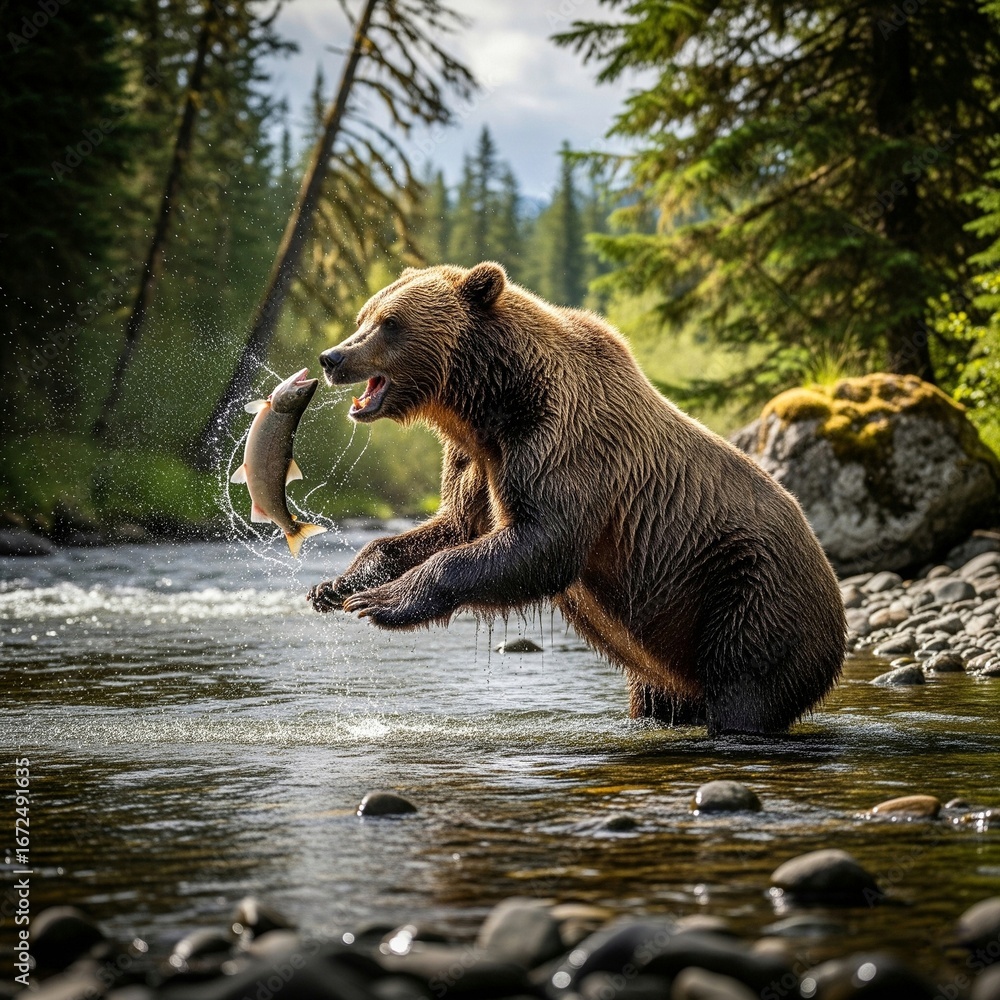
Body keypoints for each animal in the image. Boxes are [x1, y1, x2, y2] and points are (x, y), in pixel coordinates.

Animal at [308, 261, 846, 735]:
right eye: (363, 316)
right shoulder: (475, 459)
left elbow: (542, 540)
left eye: (390, 323)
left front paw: (379, 602)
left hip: (749, 594)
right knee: (658, 696)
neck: (490, 403)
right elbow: (456, 525)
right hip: (675, 655)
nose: (332, 358)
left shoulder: (561, 443)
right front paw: (338, 585)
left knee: (745, 686)